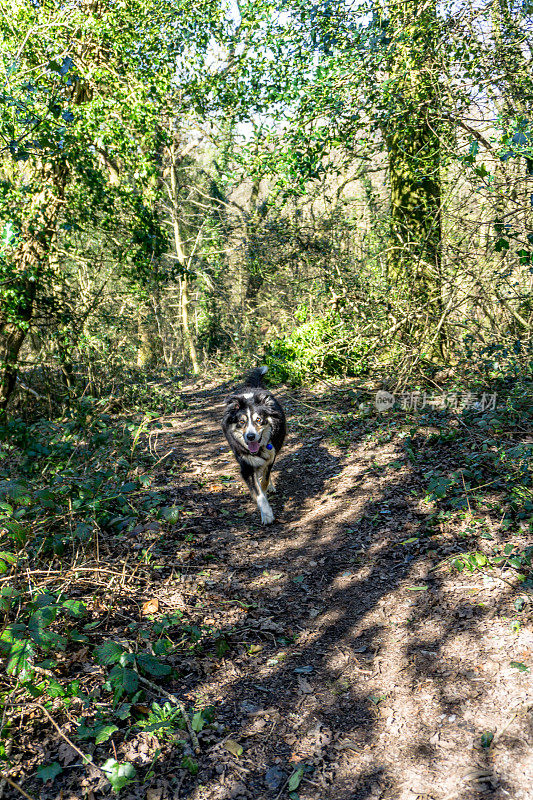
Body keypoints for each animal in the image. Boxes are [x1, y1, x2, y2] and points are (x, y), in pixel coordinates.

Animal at [221, 368, 286, 524]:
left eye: (259, 420)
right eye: (242, 421)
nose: (250, 436)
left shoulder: (271, 456)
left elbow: (264, 480)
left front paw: (266, 487)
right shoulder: (246, 466)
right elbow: (258, 492)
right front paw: (267, 514)